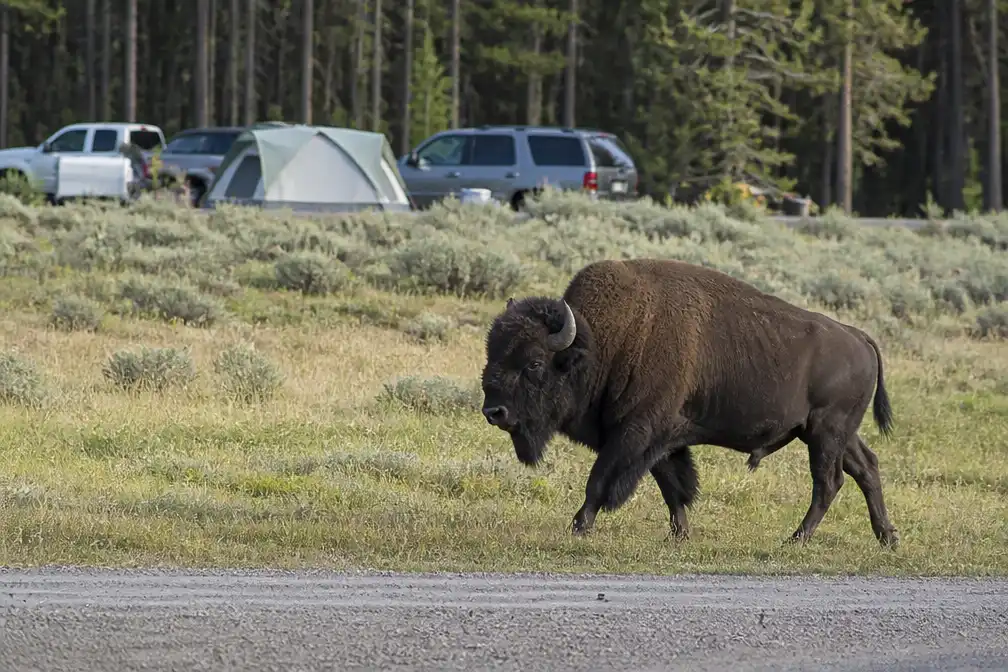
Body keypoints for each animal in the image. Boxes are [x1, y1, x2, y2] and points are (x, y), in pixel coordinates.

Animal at [480, 258, 899, 548]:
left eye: (534, 363)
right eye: (492, 352)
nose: (493, 411)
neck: (602, 343)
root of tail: (859, 337)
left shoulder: (634, 432)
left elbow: (600, 480)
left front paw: (579, 526)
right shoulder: (662, 438)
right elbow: (672, 486)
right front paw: (679, 535)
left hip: (826, 432)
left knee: (829, 482)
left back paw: (796, 539)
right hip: (833, 433)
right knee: (866, 468)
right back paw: (887, 537)